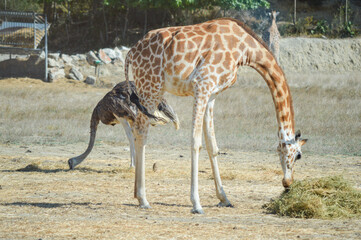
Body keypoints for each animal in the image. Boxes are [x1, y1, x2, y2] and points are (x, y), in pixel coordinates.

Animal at [124, 18, 306, 214]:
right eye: (298, 155)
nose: (287, 183)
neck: (245, 50)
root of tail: (131, 53)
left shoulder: (212, 94)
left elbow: (212, 145)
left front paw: (224, 198)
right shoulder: (202, 84)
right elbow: (196, 142)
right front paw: (196, 204)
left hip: (146, 89)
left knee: (137, 130)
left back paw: (136, 195)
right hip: (151, 87)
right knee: (141, 131)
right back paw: (143, 199)